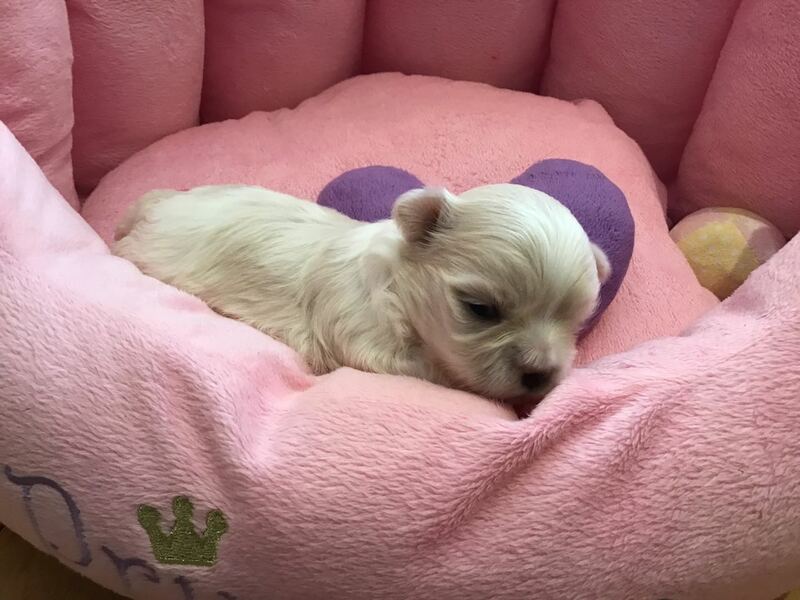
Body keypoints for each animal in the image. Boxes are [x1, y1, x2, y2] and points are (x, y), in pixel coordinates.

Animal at [113, 183, 610, 403]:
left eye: (577, 321)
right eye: (480, 309)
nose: (541, 374)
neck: (395, 289)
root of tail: (148, 208)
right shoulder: (364, 339)